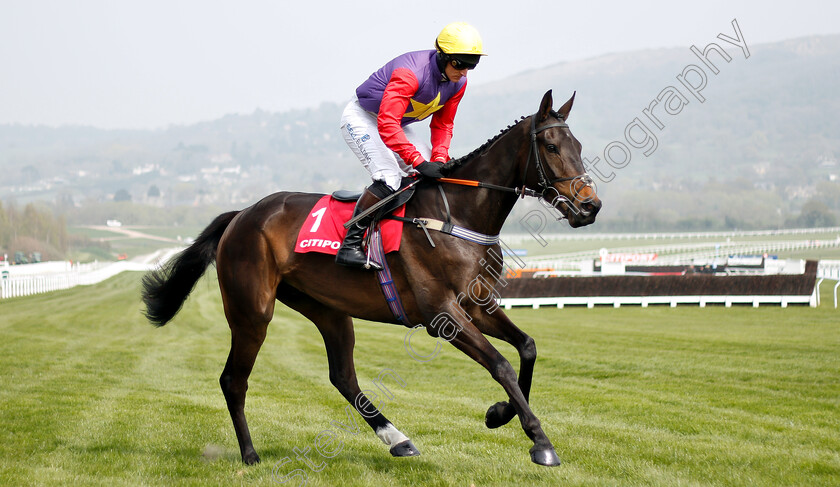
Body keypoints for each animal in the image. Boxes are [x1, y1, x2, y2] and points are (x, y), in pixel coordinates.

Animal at [146, 89, 604, 468]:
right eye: (551, 146)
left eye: (579, 147)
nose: (590, 206)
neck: (458, 215)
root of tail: (241, 214)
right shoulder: (443, 314)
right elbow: (502, 364)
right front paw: (540, 442)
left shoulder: (477, 305)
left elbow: (526, 348)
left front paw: (500, 414)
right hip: (251, 311)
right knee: (233, 380)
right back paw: (250, 454)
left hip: (327, 309)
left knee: (342, 377)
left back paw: (397, 439)